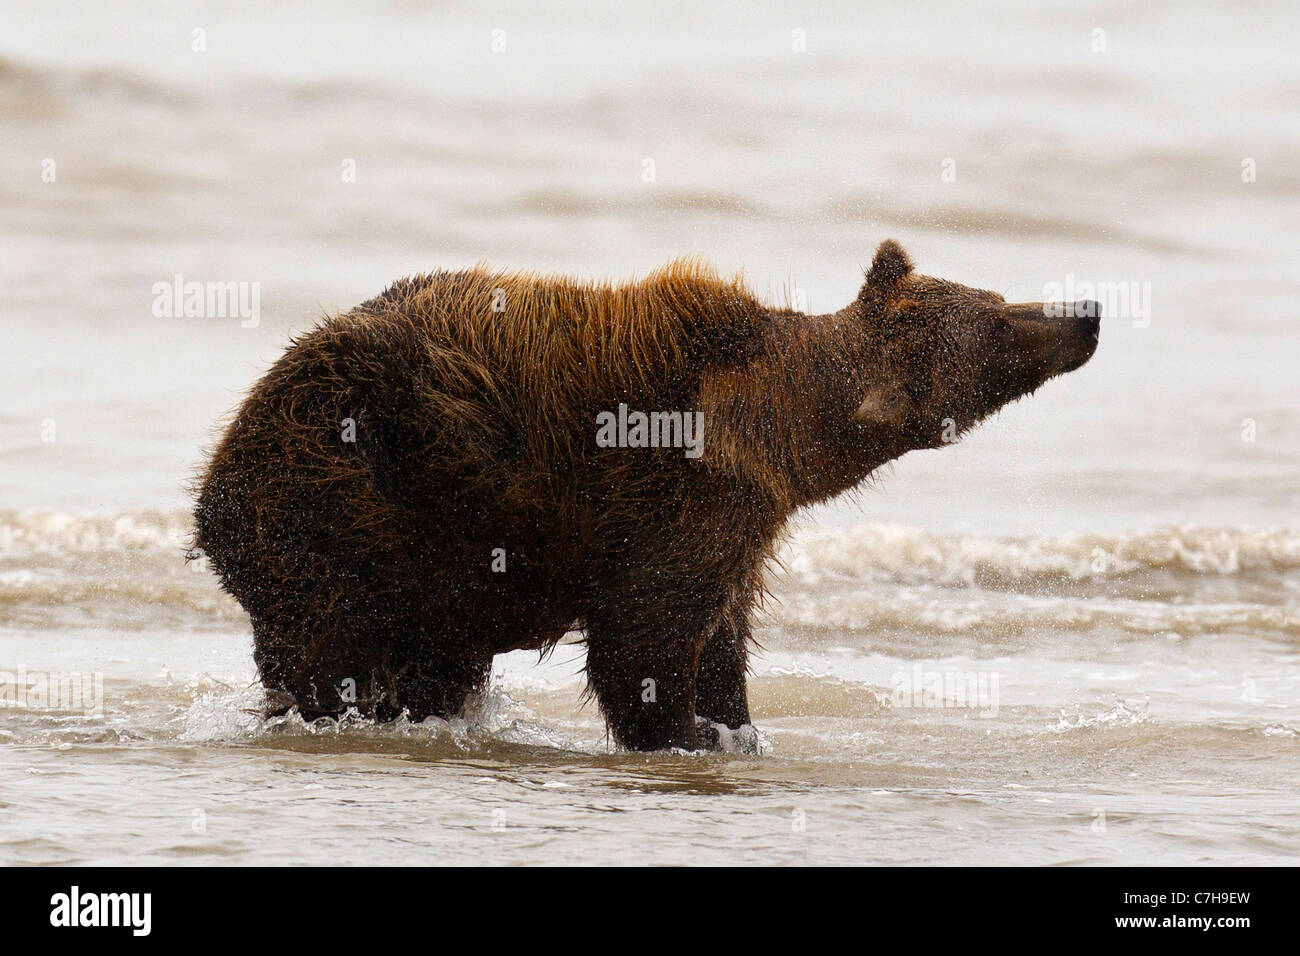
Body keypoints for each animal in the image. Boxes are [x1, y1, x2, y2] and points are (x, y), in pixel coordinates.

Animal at [192, 239, 1102, 749]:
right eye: (997, 325)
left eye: (994, 298)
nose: (1086, 310)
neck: (771, 422)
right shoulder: (673, 500)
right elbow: (644, 638)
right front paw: (687, 731)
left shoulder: (743, 522)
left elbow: (724, 631)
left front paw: (736, 724)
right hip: (348, 502)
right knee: (333, 644)